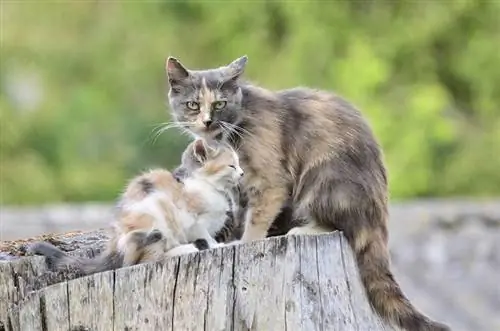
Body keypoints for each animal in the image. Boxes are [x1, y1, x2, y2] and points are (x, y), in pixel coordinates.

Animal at [30, 139, 242, 276]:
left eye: (239, 164)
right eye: (231, 166)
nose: (241, 173)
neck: (207, 185)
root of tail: (115, 247)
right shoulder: (194, 221)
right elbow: (205, 235)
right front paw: (217, 245)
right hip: (153, 221)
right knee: (145, 260)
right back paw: (188, 249)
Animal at [164, 55, 450, 331]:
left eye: (220, 104)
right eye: (192, 105)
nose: (207, 121)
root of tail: (378, 222)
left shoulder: (271, 181)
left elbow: (256, 218)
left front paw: (246, 241)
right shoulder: (237, 190)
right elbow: (240, 213)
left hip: (324, 179)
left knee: (341, 225)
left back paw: (304, 229)